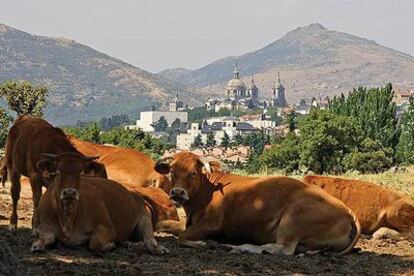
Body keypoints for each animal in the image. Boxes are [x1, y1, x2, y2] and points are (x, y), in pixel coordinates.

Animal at [30, 153, 169, 254]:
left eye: (81, 173)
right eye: (58, 172)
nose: (69, 193)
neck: (68, 218)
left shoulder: (107, 228)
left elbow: (95, 244)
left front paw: (110, 245)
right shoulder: (45, 226)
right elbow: (46, 237)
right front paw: (37, 245)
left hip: (145, 215)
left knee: (149, 239)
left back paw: (155, 248)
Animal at [154, 152, 360, 256]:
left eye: (194, 173)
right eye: (172, 171)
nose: (177, 193)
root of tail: (349, 211)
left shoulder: (211, 224)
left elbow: (182, 237)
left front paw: (206, 244)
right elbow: (165, 224)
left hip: (293, 218)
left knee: (282, 249)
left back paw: (240, 247)